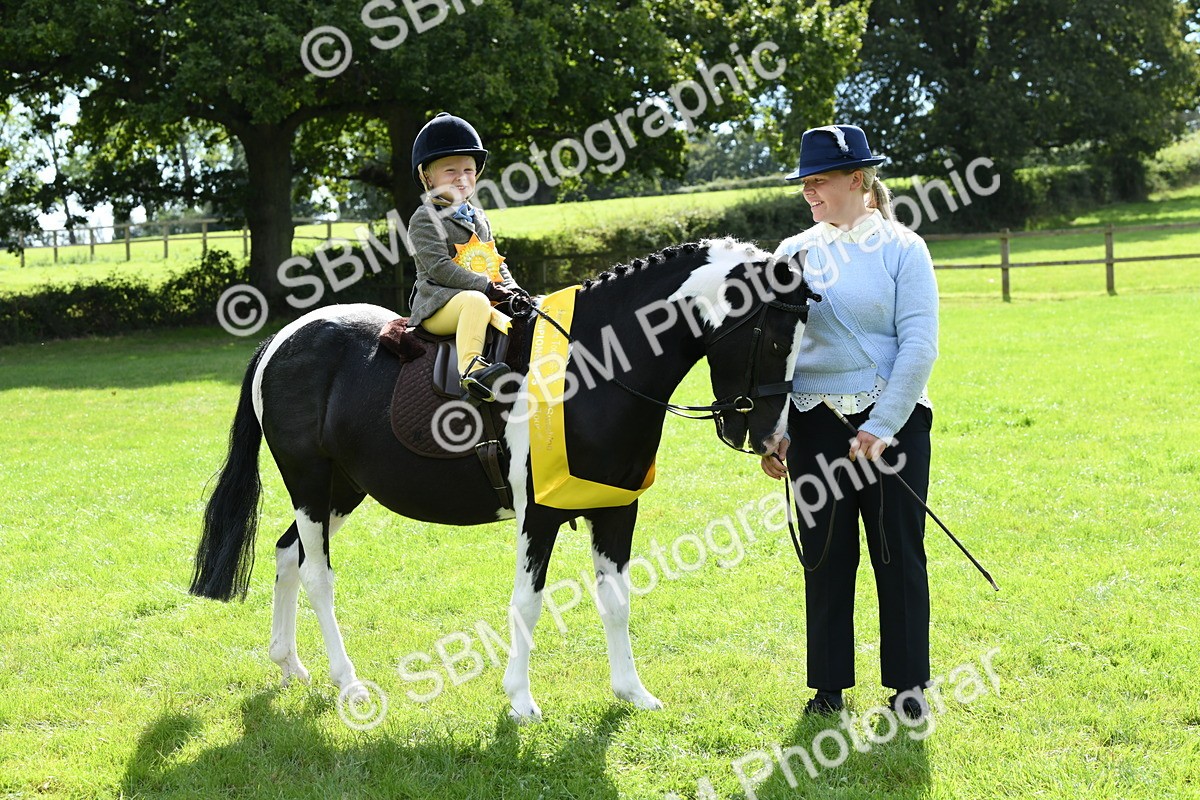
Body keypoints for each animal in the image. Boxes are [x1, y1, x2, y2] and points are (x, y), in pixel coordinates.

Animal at [189, 238, 815, 722]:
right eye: (774, 339)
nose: (770, 438)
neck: (592, 369)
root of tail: (283, 338)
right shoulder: (539, 515)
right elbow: (528, 603)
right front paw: (520, 700)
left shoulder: (616, 511)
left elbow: (616, 601)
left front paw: (632, 693)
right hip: (311, 485)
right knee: (318, 576)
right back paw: (348, 683)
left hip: (341, 491)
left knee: (287, 555)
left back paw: (290, 664)